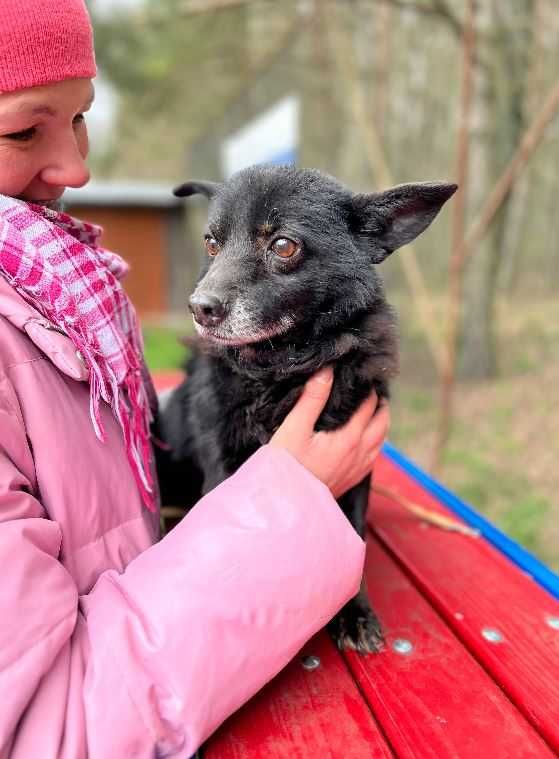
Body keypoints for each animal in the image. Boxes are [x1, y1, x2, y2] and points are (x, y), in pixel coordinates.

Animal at [156, 166, 456, 652]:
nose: (200, 308)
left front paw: (353, 612)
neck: (283, 370)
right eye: (212, 242)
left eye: (283, 245)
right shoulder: (222, 462)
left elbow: (352, 537)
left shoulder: (356, 467)